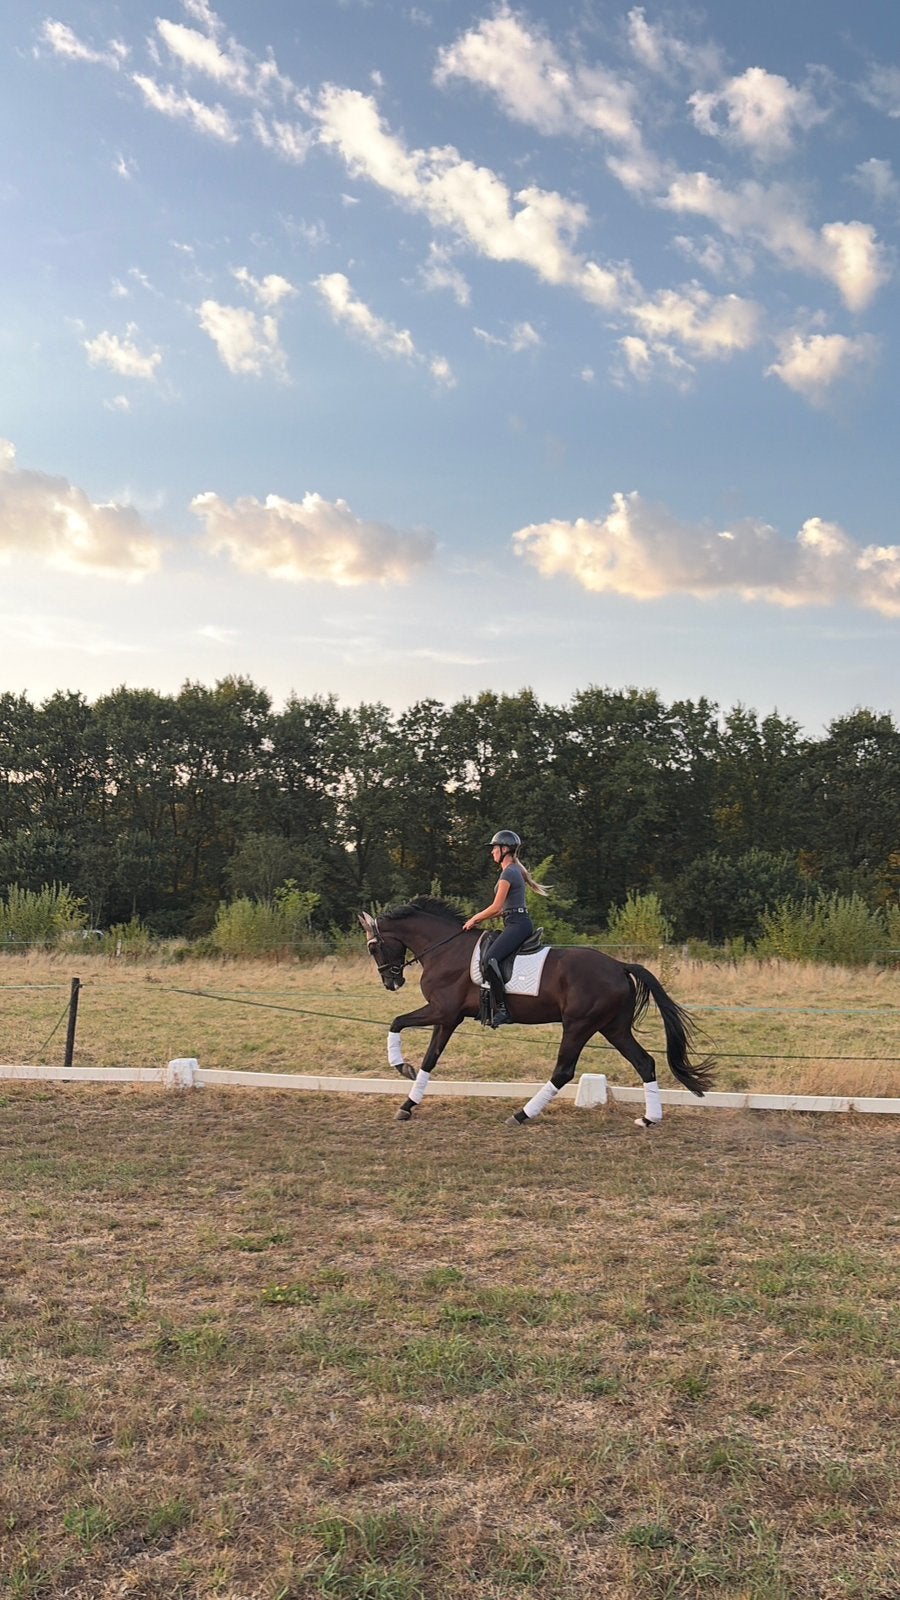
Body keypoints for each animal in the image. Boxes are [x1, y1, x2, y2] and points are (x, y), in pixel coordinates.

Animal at [358, 897, 714, 1126]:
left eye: (373, 947)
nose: (392, 982)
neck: (445, 949)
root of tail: (619, 965)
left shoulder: (442, 1012)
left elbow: (397, 1023)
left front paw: (401, 1067)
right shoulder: (448, 1018)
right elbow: (430, 1060)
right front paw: (408, 1104)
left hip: (579, 1025)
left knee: (564, 1071)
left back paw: (521, 1115)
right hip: (613, 1027)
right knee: (644, 1062)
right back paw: (649, 1118)